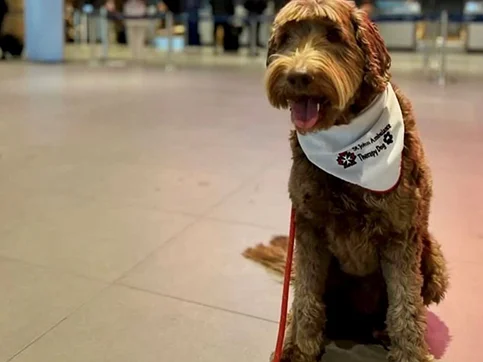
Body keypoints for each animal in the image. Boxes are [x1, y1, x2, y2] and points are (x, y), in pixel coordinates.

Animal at [260, 0, 452, 362]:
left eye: (334, 35)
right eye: (286, 37)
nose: (297, 76)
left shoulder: (401, 233)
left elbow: (406, 304)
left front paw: (411, 353)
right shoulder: (308, 227)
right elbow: (305, 294)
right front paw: (298, 347)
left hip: (433, 256)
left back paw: (383, 331)